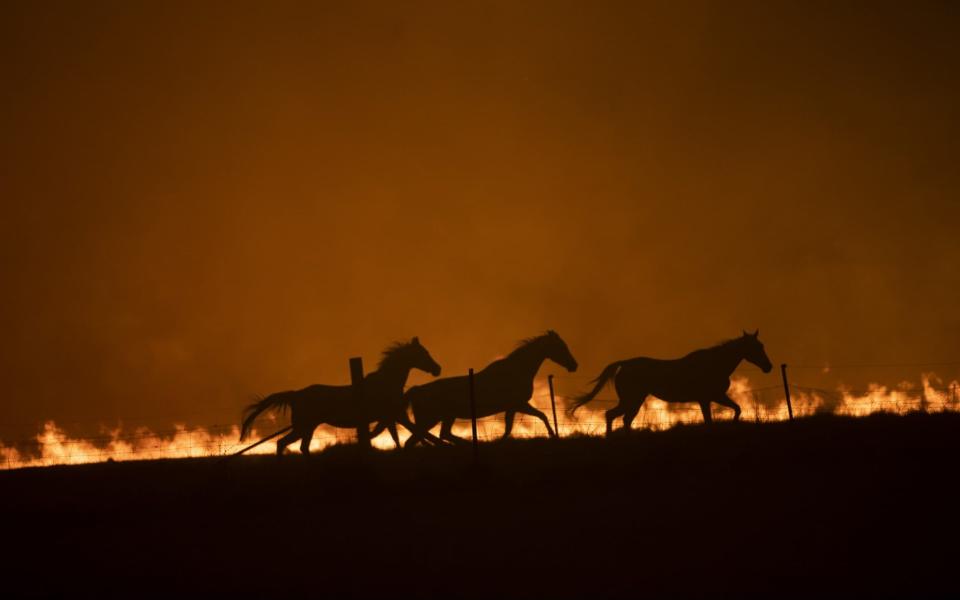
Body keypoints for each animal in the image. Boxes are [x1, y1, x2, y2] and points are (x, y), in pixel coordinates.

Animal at [244, 338, 446, 454]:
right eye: (423, 353)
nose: (437, 369)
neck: (386, 383)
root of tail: (296, 395)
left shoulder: (389, 418)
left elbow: (397, 437)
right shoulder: (395, 415)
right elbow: (414, 433)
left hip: (308, 427)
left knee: (301, 447)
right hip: (302, 426)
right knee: (282, 443)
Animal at [404, 330, 576, 448]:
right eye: (561, 347)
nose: (574, 365)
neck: (517, 371)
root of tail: (417, 390)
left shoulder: (514, 407)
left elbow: (517, 425)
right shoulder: (518, 404)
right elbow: (538, 418)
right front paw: (553, 435)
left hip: (444, 418)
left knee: (436, 436)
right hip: (432, 419)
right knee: (424, 438)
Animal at [568, 328, 772, 436]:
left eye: (761, 345)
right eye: (755, 347)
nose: (768, 367)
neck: (714, 364)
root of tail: (624, 364)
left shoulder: (715, 396)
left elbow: (737, 409)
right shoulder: (708, 398)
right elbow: (711, 420)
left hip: (634, 400)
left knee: (622, 419)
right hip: (632, 399)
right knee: (613, 416)